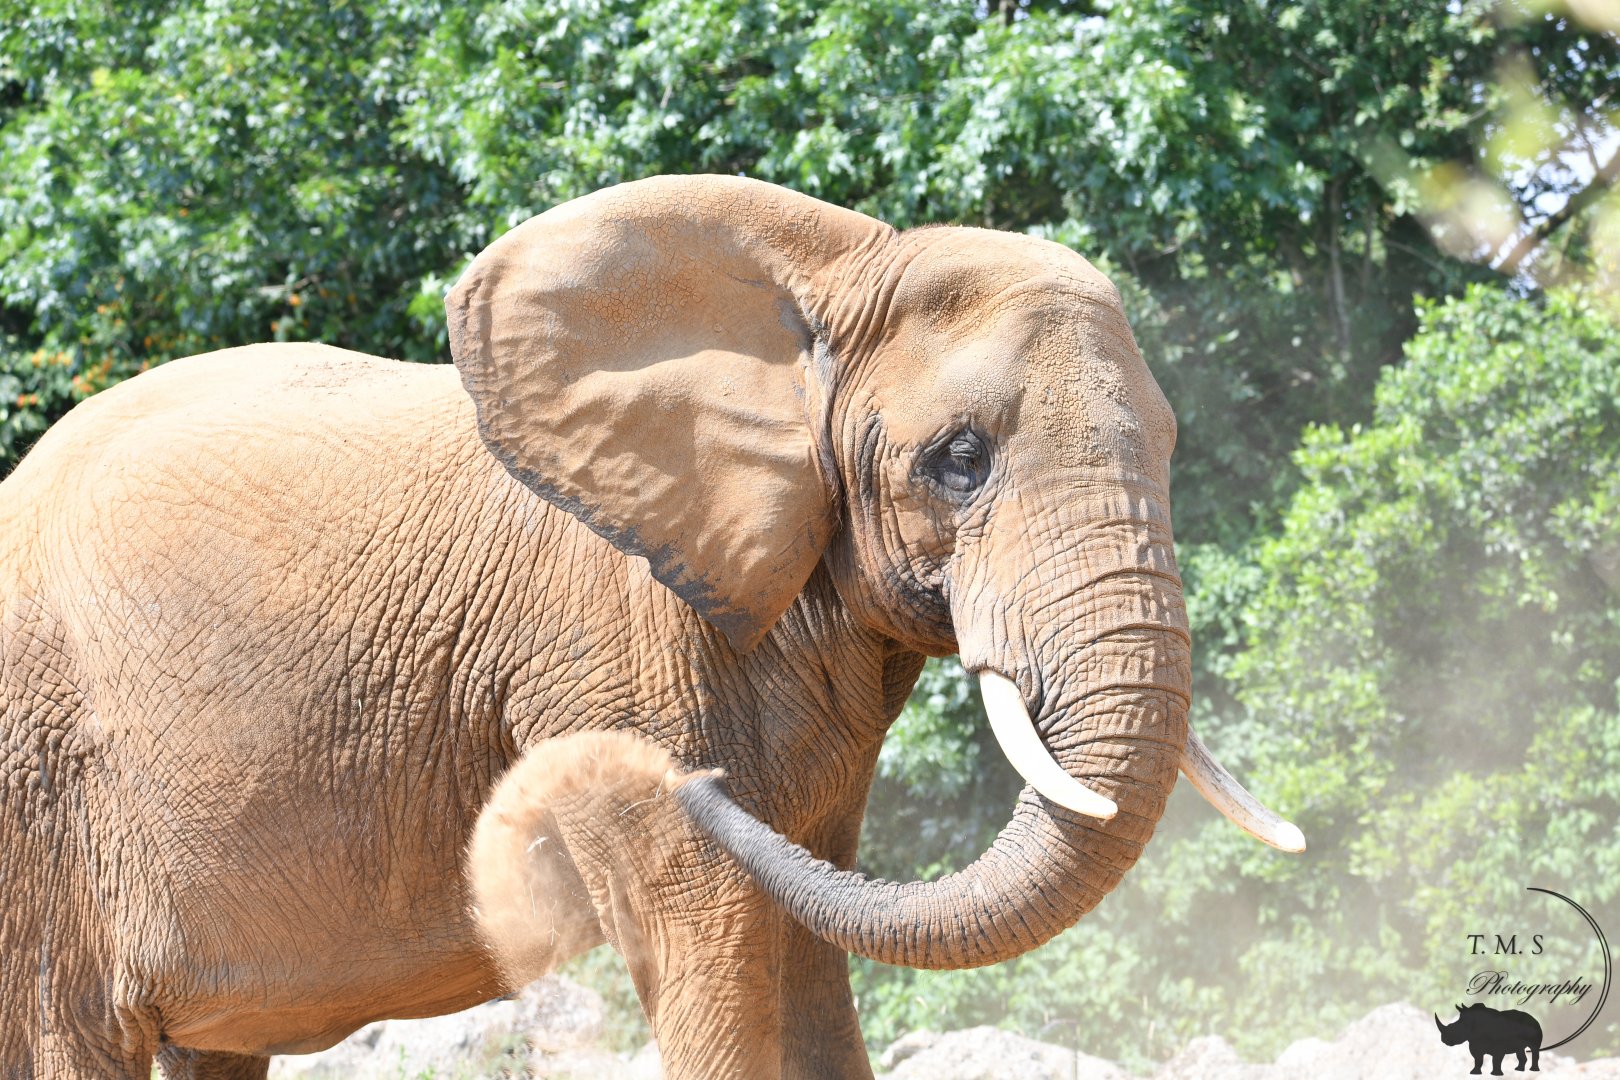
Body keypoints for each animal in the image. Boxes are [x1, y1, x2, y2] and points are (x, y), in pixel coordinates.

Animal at [0, 174, 1303, 1079]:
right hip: (39, 799)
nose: (705, 786)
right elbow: (707, 927)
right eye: (961, 460)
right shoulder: (609, 642)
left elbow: (808, 933)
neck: (831, 277)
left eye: (1172, 447)